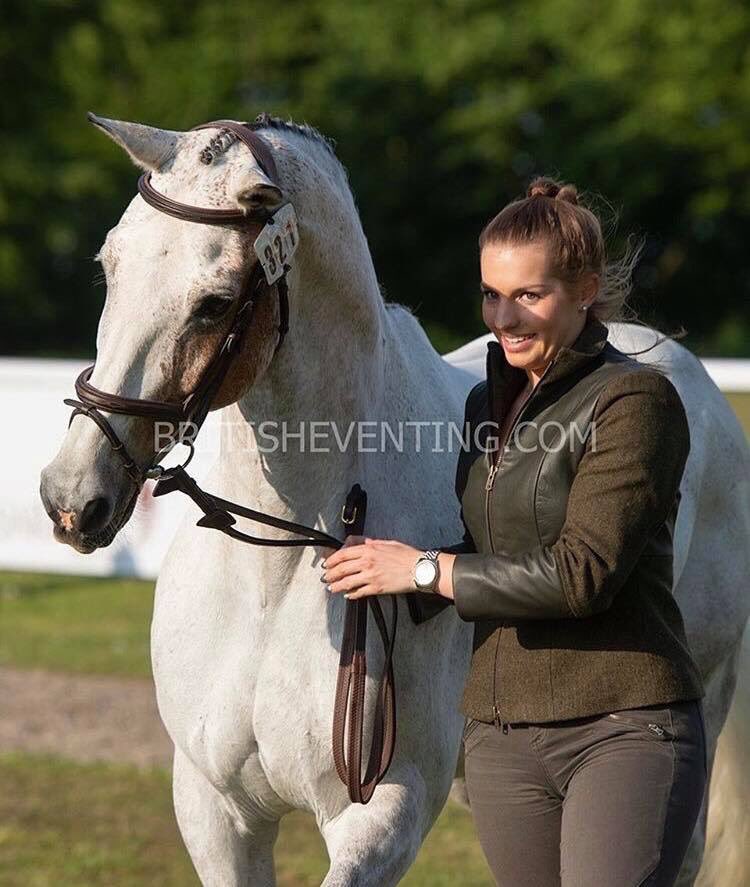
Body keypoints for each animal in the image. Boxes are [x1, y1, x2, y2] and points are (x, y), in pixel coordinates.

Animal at [40, 114, 750, 886]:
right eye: (110, 266)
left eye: (215, 302)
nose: (71, 496)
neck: (277, 571)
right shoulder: (214, 811)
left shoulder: (386, 809)